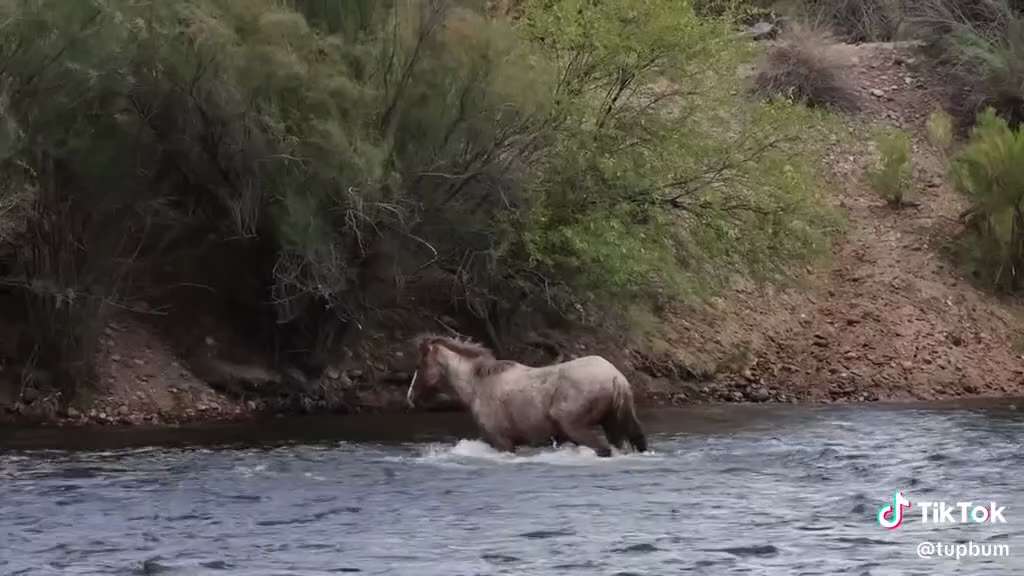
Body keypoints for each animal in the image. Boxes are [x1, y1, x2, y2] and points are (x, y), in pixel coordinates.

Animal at [406, 334, 647, 457]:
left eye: (419, 365)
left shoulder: (502, 440)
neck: (474, 387)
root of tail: (616, 379)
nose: (410, 396)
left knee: (604, 449)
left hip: (576, 426)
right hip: (615, 422)